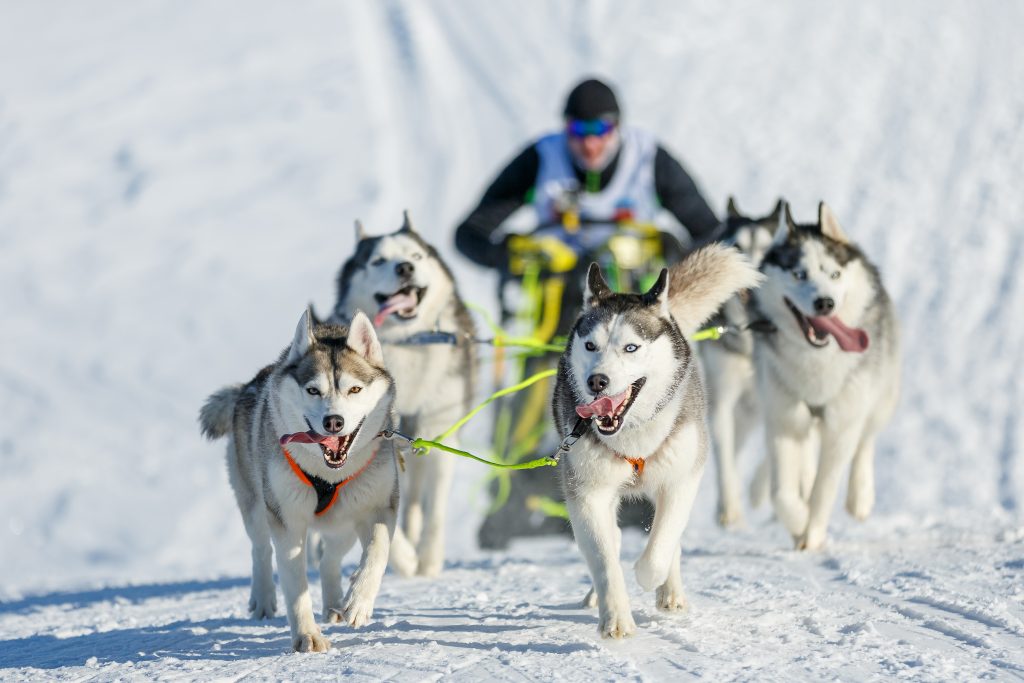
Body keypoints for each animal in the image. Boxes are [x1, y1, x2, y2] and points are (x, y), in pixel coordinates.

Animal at [199, 309, 399, 651]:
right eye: (313, 390)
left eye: (355, 390)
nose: (334, 421)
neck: (329, 473)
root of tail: (249, 385)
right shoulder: (287, 520)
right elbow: (295, 585)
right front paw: (307, 636)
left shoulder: (380, 506)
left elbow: (378, 550)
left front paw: (358, 601)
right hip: (255, 504)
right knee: (261, 550)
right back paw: (264, 598)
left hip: (345, 521)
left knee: (330, 559)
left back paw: (336, 604)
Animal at [335, 214, 479, 577]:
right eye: (377, 261)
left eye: (415, 256)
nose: (404, 268)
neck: (408, 342)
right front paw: (404, 559)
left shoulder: (441, 433)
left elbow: (434, 509)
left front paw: (428, 560)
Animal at [552, 244, 761, 634]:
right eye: (590, 345)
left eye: (631, 348)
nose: (597, 381)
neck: (632, 434)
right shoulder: (587, 492)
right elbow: (604, 557)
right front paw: (615, 619)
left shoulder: (681, 479)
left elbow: (661, 545)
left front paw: (649, 577)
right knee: (615, 538)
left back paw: (670, 592)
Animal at [700, 197, 786, 528]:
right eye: (737, 247)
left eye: (766, 248)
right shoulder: (721, 399)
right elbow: (725, 457)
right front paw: (729, 508)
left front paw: (760, 492)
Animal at [749, 201, 901, 548]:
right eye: (799, 274)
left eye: (835, 274)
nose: (825, 303)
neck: (816, 361)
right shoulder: (782, 422)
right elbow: (781, 494)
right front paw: (798, 522)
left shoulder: (842, 425)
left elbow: (825, 489)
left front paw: (813, 533)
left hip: (880, 398)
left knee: (866, 441)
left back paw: (860, 497)